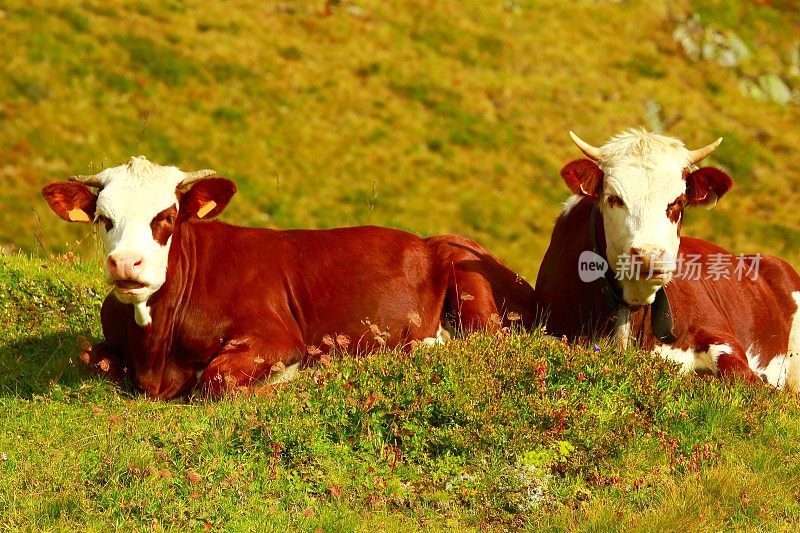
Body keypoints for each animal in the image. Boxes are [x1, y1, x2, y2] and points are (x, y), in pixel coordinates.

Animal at [40, 156, 536, 396]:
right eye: (104, 218)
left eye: (166, 216)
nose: (126, 263)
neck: (156, 353)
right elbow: (89, 356)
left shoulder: (276, 336)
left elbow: (216, 382)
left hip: (465, 277)